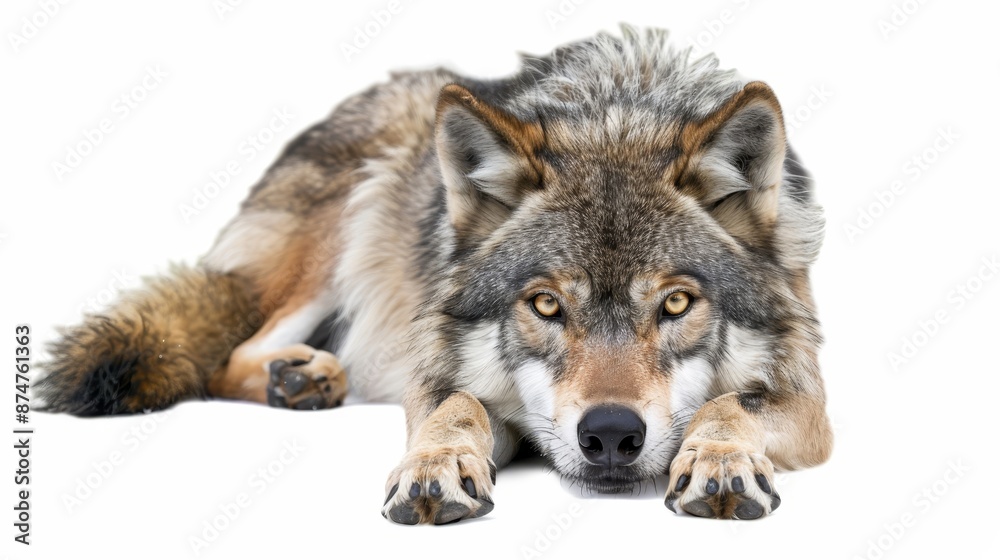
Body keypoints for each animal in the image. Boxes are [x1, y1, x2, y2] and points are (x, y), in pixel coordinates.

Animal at [37, 26, 832, 524]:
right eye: (545, 305)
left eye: (675, 303)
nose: (610, 435)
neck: (619, 111)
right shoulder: (435, 381)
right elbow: (456, 411)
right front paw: (437, 467)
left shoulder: (811, 405)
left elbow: (730, 405)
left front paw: (721, 459)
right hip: (347, 223)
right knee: (235, 350)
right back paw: (306, 378)